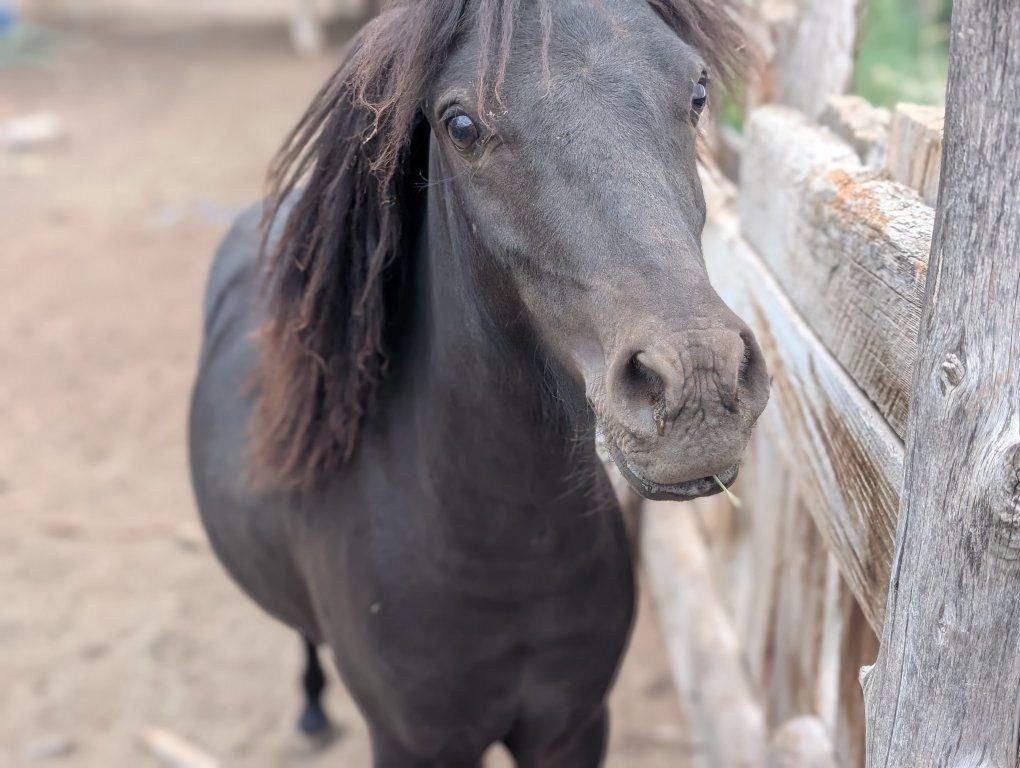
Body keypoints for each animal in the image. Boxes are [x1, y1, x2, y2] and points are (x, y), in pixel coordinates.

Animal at [188, 0, 770, 764]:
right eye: (461, 124)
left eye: (698, 93)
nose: (699, 385)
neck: (499, 556)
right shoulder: (414, 746)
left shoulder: (573, 727)